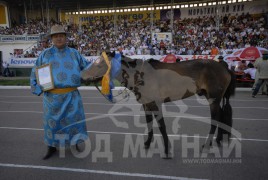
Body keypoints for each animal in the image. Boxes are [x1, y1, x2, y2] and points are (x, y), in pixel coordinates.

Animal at [80, 51, 236, 158]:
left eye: (100, 64)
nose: (82, 76)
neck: (140, 75)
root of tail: (224, 67)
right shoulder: (146, 104)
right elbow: (149, 124)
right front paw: (147, 143)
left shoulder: (156, 104)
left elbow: (161, 126)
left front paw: (167, 149)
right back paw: (218, 139)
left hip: (213, 99)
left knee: (215, 118)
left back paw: (207, 144)